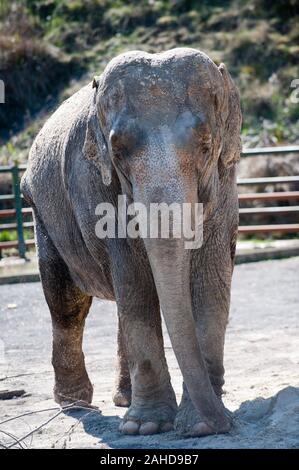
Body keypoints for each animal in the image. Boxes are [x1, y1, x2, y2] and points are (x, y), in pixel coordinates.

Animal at [21, 47, 241, 436]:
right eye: (118, 152)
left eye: (205, 147)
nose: (223, 424)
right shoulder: (96, 185)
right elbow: (135, 281)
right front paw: (147, 427)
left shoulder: (224, 183)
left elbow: (211, 281)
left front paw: (198, 425)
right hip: (42, 212)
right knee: (66, 302)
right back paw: (76, 403)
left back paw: (123, 399)